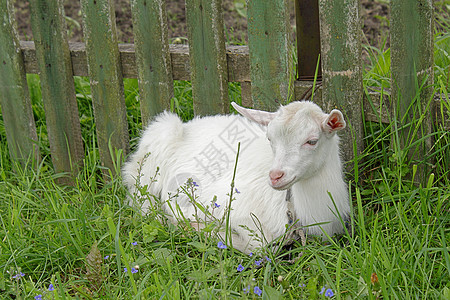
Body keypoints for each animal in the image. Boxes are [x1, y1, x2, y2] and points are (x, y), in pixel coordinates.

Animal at [123, 101, 352, 253]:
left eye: (312, 141)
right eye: (270, 138)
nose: (275, 176)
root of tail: (190, 123)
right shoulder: (236, 209)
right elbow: (259, 245)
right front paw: (204, 230)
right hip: (149, 162)